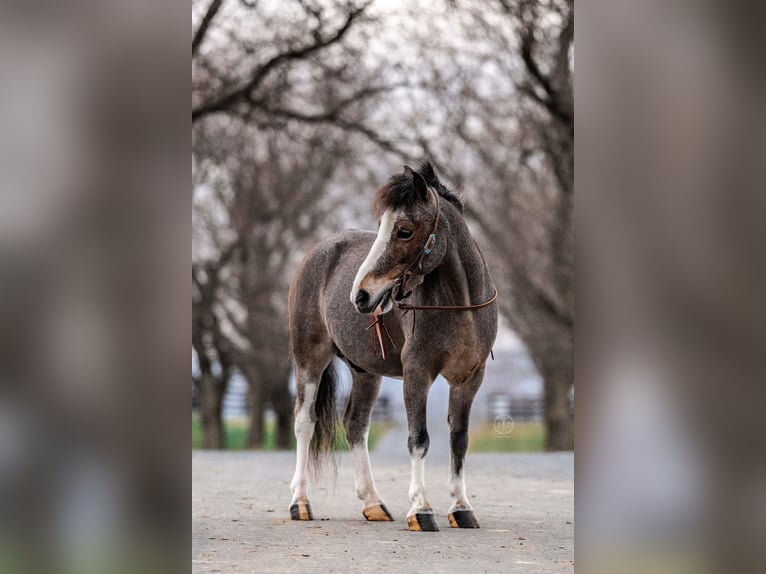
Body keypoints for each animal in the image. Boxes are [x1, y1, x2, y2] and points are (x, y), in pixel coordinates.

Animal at [288, 161, 498, 532]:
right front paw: (421, 510)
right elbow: (419, 439)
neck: (460, 307)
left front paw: (461, 508)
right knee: (305, 421)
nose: (361, 295)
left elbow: (459, 439)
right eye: (383, 228)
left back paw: (373, 504)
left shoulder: (470, 378)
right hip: (309, 360)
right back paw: (300, 503)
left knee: (355, 425)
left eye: (403, 230)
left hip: (365, 372)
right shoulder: (417, 373)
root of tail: (318, 252)